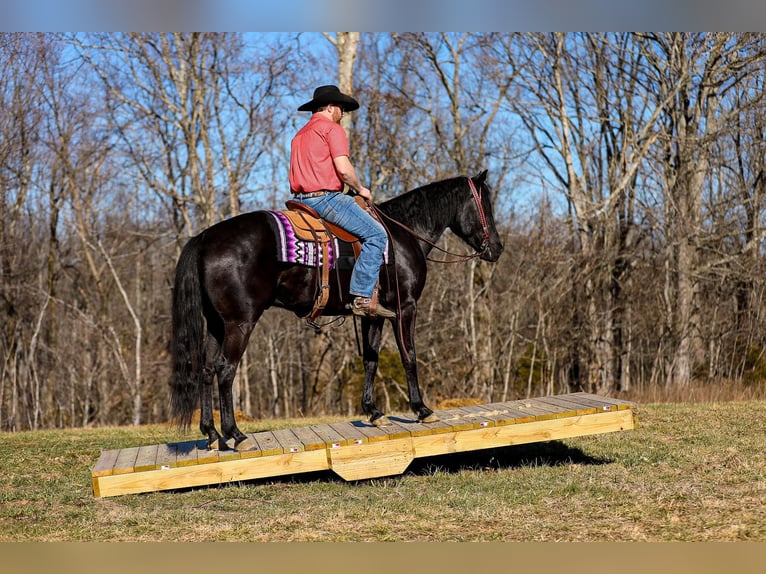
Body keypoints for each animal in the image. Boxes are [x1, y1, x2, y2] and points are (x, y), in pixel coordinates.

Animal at [170, 170, 504, 450]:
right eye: (486, 206)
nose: (497, 249)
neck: (402, 234)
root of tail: (204, 238)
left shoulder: (374, 314)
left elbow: (370, 359)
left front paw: (373, 412)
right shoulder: (406, 306)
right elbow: (409, 355)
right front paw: (422, 409)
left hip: (217, 324)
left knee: (206, 369)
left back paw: (212, 434)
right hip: (240, 322)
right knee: (226, 369)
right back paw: (236, 435)